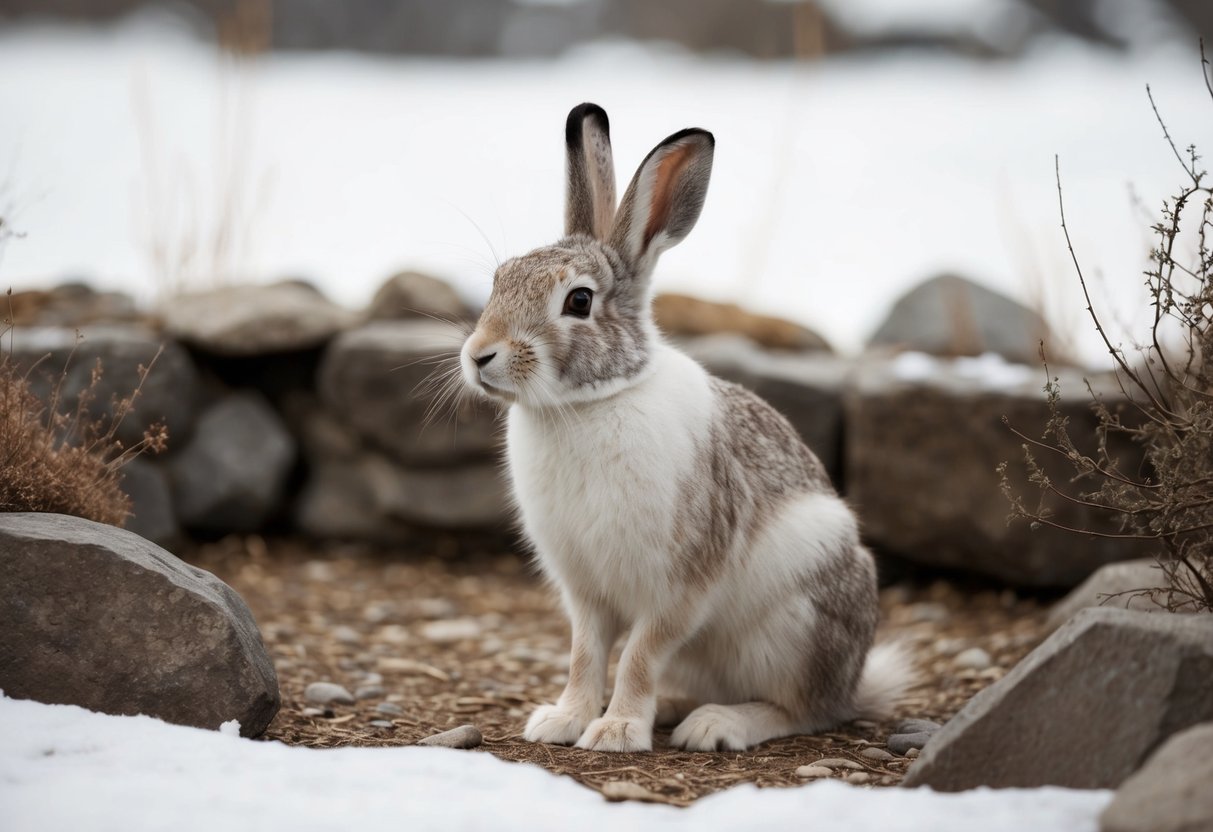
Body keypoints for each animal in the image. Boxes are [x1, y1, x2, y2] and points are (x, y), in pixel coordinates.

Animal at [458, 103, 913, 752]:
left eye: (578, 302)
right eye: (500, 278)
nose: (479, 356)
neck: (592, 402)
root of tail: (854, 679)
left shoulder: (681, 585)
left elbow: (640, 654)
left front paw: (616, 731)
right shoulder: (584, 590)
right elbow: (585, 654)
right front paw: (562, 721)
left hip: (797, 624)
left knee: (806, 709)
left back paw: (717, 724)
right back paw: (674, 709)